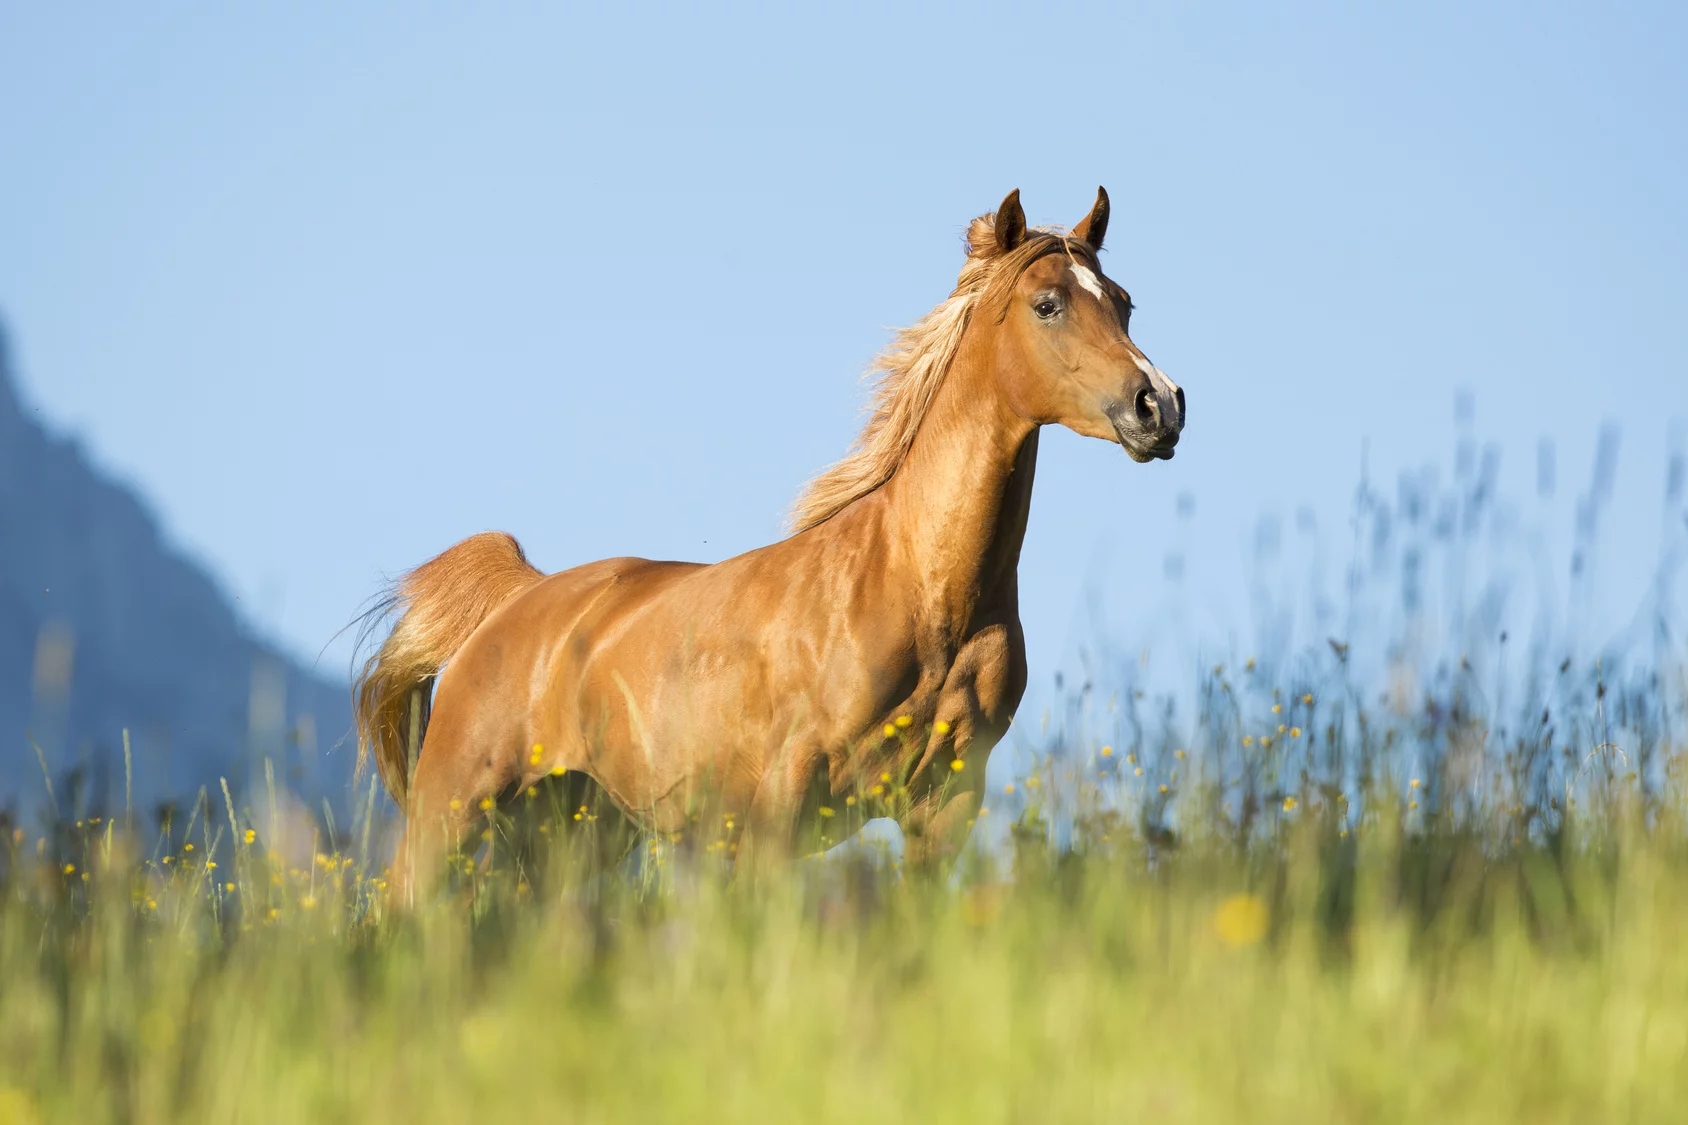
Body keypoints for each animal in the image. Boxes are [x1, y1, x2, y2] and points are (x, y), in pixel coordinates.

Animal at [352, 188, 1188, 898]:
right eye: (1048, 303)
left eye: (1122, 302)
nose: (1160, 405)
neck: (920, 592)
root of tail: (516, 600)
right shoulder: (784, 806)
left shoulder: (942, 808)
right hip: (448, 819)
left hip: (573, 833)